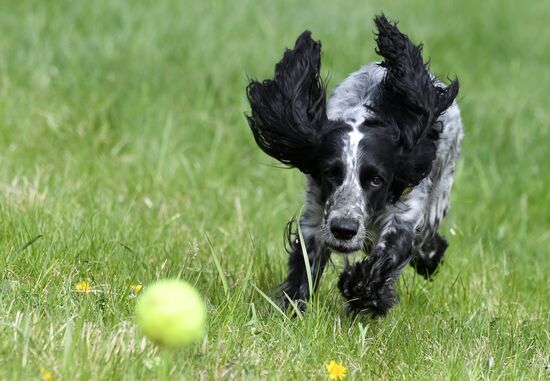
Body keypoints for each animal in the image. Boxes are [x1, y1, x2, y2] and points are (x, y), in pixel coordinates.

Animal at [248, 14, 464, 316]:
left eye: (376, 180)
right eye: (331, 173)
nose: (344, 230)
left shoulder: (404, 215)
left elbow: (389, 253)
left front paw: (362, 291)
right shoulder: (316, 216)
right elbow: (305, 265)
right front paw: (293, 310)